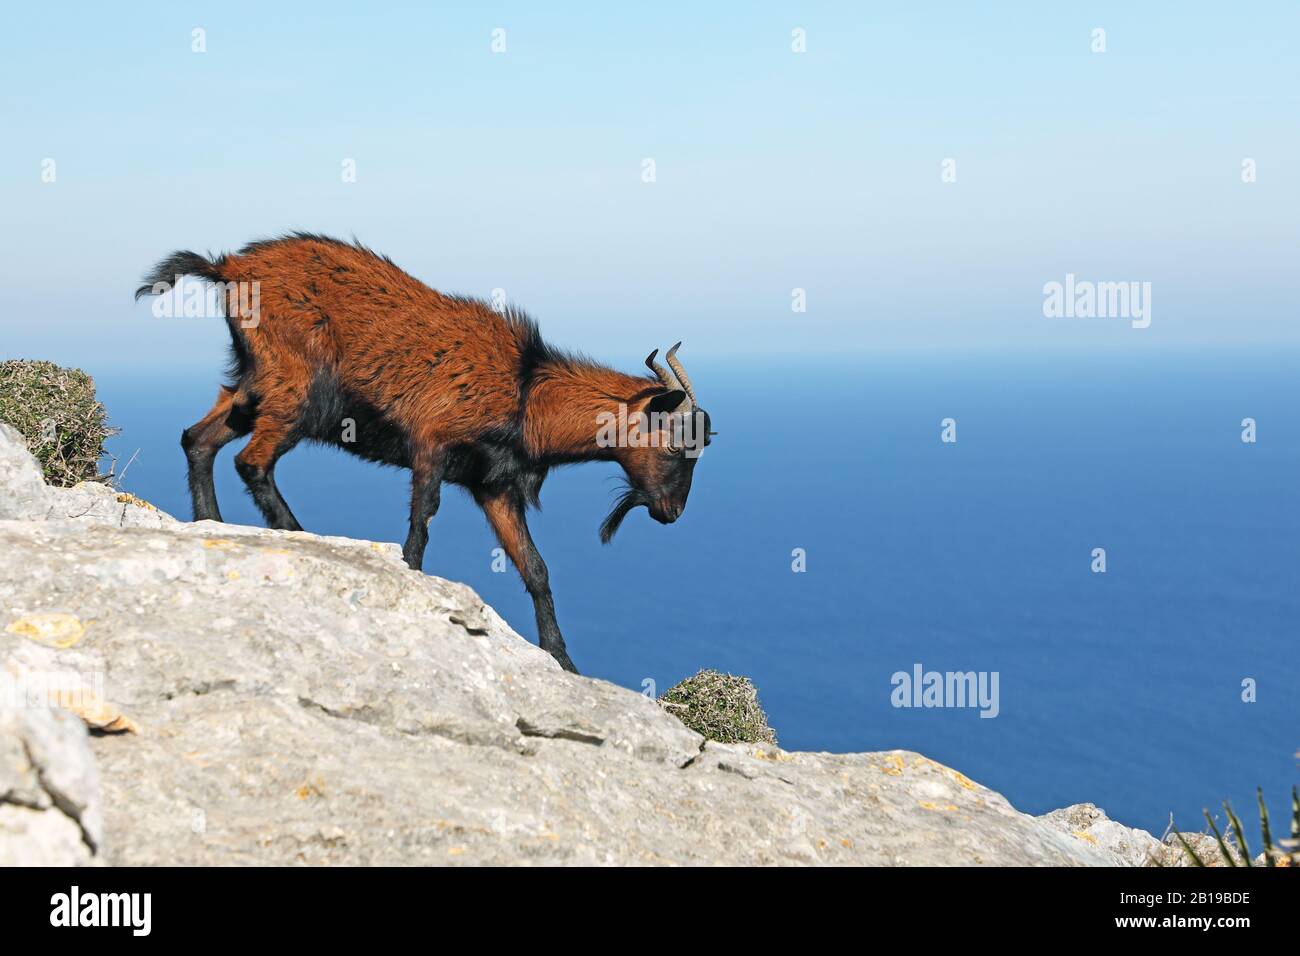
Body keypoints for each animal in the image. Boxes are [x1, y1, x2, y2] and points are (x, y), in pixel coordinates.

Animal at [135, 233, 711, 673]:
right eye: (676, 442)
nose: (673, 512)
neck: (527, 389)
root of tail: (230, 267)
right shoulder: (433, 443)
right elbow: (420, 526)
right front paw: (412, 580)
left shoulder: (493, 485)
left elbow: (535, 568)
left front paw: (563, 660)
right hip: (297, 388)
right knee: (251, 460)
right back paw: (294, 531)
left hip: (253, 386)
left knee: (198, 438)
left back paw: (210, 522)